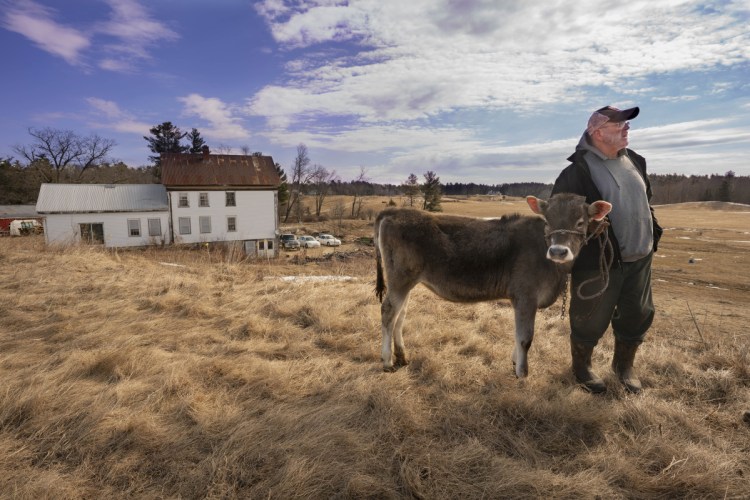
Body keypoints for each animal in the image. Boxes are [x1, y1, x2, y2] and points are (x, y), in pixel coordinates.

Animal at [374, 193, 612, 376]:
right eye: (548, 221)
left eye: (580, 221)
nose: (558, 251)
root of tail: (394, 212)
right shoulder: (525, 296)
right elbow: (525, 337)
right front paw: (522, 373)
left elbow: (518, 334)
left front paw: (515, 363)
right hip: (400, 279)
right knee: (388, 311)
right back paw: (387, 361)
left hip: (407, 281)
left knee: (400, 315)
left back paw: (402, 356)